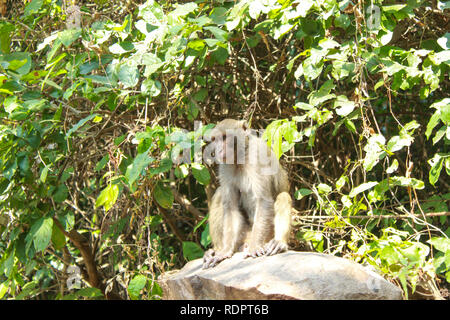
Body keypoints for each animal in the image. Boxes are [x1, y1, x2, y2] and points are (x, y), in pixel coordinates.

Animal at [203, 119, 294, 268]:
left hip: (266, 234)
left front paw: (255, 247)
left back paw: (279, 243)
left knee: (283, 196)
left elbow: (263, 201)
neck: (241, 155)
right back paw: (216, 250)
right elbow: (231, 206)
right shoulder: (225, 167)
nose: (219, 150)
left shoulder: (258, 156)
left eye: (225, 137)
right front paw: (225, 251)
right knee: (219, 194)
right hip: (242, 235)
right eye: (215, 140)